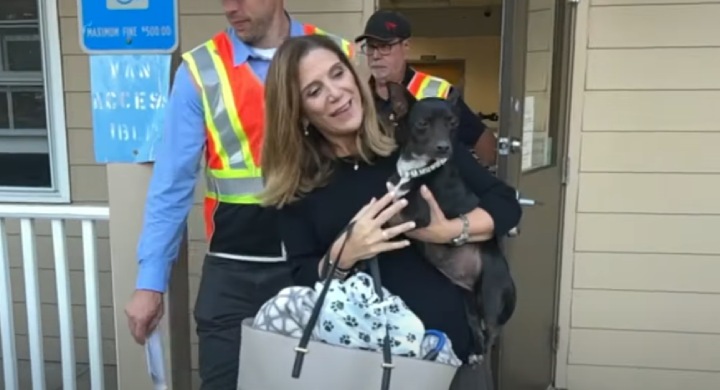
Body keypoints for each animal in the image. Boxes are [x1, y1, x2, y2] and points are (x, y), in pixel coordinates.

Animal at [382, 82, 516, 366]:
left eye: (453, 123)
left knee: (492, 334)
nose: (444, 147)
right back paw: (475, 354)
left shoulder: (420, 216)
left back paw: (482, 360)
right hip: (469, 302)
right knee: (477, 329)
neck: (415, 170)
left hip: (491, 293)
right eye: (422, 123)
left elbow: (392, 216)